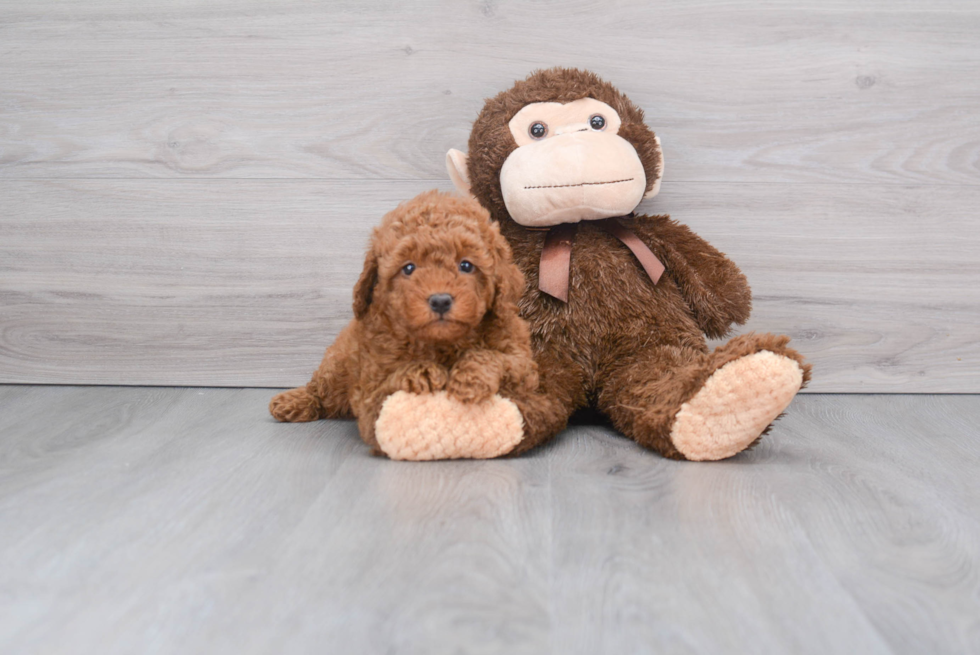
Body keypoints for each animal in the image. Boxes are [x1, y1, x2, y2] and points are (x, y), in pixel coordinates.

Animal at [272, 190, 556, 456]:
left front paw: (469, 376)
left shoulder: (522, 363)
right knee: (320, 389)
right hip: (336, 367)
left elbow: (496, 358)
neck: (443, 343)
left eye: (466, 265)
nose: (440, 300)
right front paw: (422, 371)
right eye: (408, 268)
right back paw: (291, 402)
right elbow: (387, 384)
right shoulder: (370, 389)